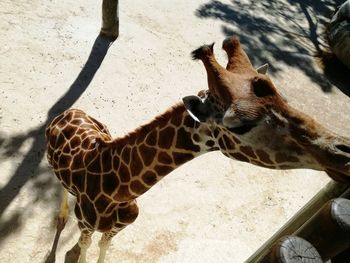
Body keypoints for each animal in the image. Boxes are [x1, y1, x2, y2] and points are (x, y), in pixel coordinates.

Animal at [46, 36, 350, 262]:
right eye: (240, 125)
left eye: (285, 99)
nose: (343, 154)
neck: (118, 190)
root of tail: (70, 111)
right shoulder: (87, 225)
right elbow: (86, 247)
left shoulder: (118, 228)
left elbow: (104, 248)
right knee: (59, 187)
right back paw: (60, 217)